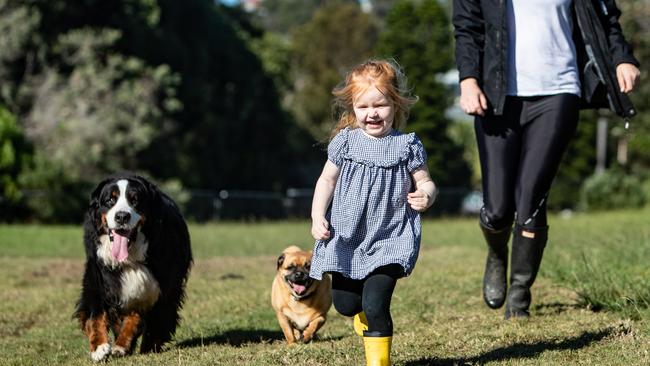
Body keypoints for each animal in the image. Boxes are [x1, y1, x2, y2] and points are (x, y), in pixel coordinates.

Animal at [73, 174, 191, 360]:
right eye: (110, 200)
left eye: (135, 200)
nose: (122, 216)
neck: (130, 259)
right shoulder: (97, 279)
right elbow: (95, 316)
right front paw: (99, 347)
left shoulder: (161, 289)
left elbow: (147, 320)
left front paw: (136, 347)